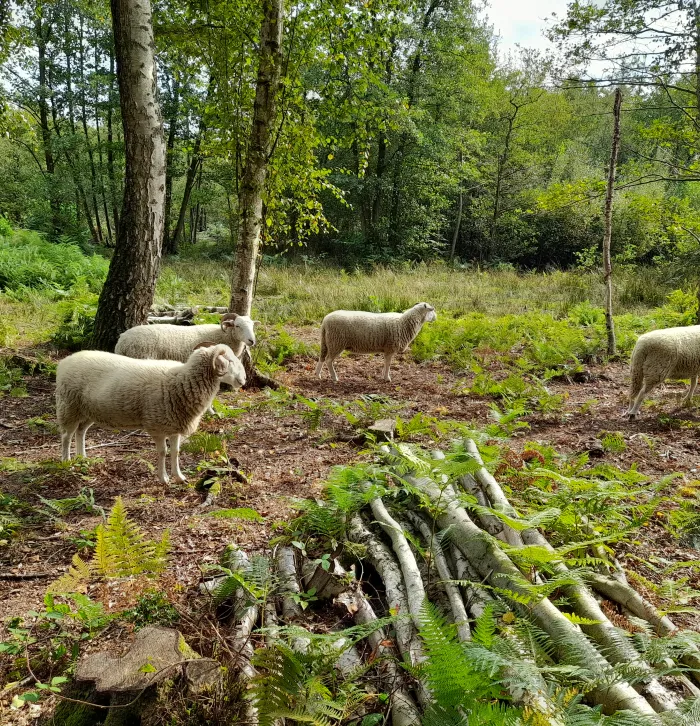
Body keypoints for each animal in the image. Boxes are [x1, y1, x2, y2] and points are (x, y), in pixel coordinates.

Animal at [56, 344, 246, 486]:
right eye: (229, 361)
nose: (243, 380)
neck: (181, 381)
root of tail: (64, 362)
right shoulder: (158, 426)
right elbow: (162, 452)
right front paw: (164, 479)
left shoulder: (175, 425)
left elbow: (175, 451)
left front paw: (179, 477)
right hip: (69, 407)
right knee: (66, 436)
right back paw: (67, 462)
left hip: (88, 411)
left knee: (80, 432)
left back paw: (82, 457)